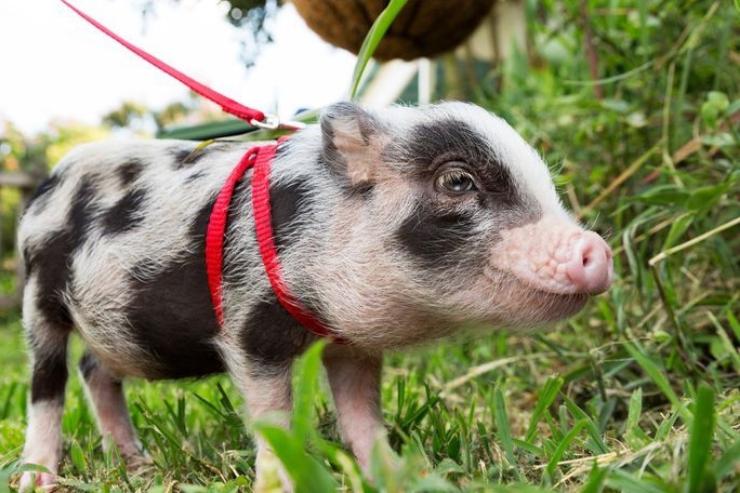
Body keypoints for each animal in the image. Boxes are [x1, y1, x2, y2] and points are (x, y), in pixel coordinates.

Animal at [17, 102, 612, 490]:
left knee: (95, 370)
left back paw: (138, 467)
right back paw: (37, 479)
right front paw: (279, 483)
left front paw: (400, 475)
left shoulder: (352, 343)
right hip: (38, 297)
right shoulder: (248, 325)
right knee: (49, 383)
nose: (599, 251)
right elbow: (272, 416)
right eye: (457, 181)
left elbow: (361, 414)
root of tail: (45, 187)